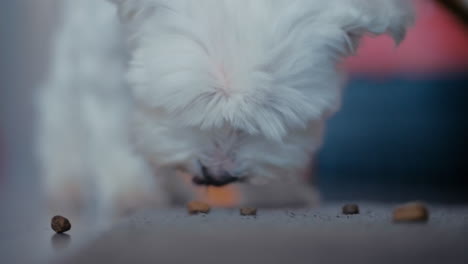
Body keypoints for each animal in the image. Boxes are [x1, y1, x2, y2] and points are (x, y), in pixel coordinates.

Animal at [38, 0, 414, 214]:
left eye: (274, 118)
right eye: (185, 106)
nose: (218, 176)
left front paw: (277, 192)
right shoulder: (101, 52)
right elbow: (115, 125)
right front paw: (131, 191)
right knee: (59, 108)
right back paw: (66, 183)